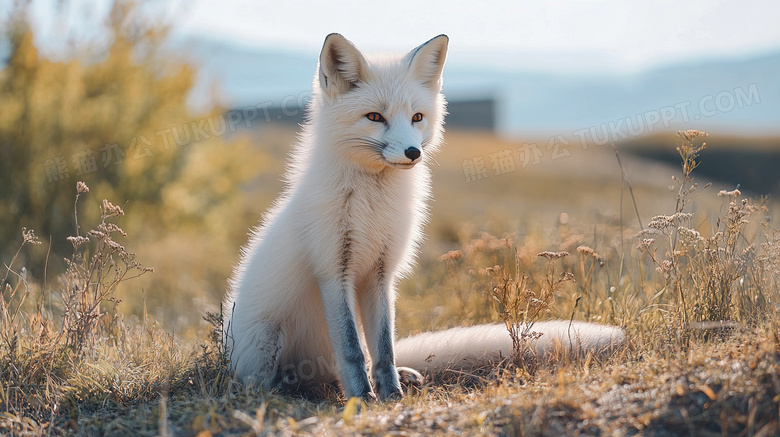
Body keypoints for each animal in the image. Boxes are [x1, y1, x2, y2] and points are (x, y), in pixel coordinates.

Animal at [222, 34, 624, 400]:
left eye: (417, 117)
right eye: (375, 117)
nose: (413, 152)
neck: (373, 207)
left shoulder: (381, 274)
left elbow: (383, 350)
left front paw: (391, 395)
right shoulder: (334, 272)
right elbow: (352, 351)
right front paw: (362, 398)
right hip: (265, 338)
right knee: (265, 379)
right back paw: (277, 390)